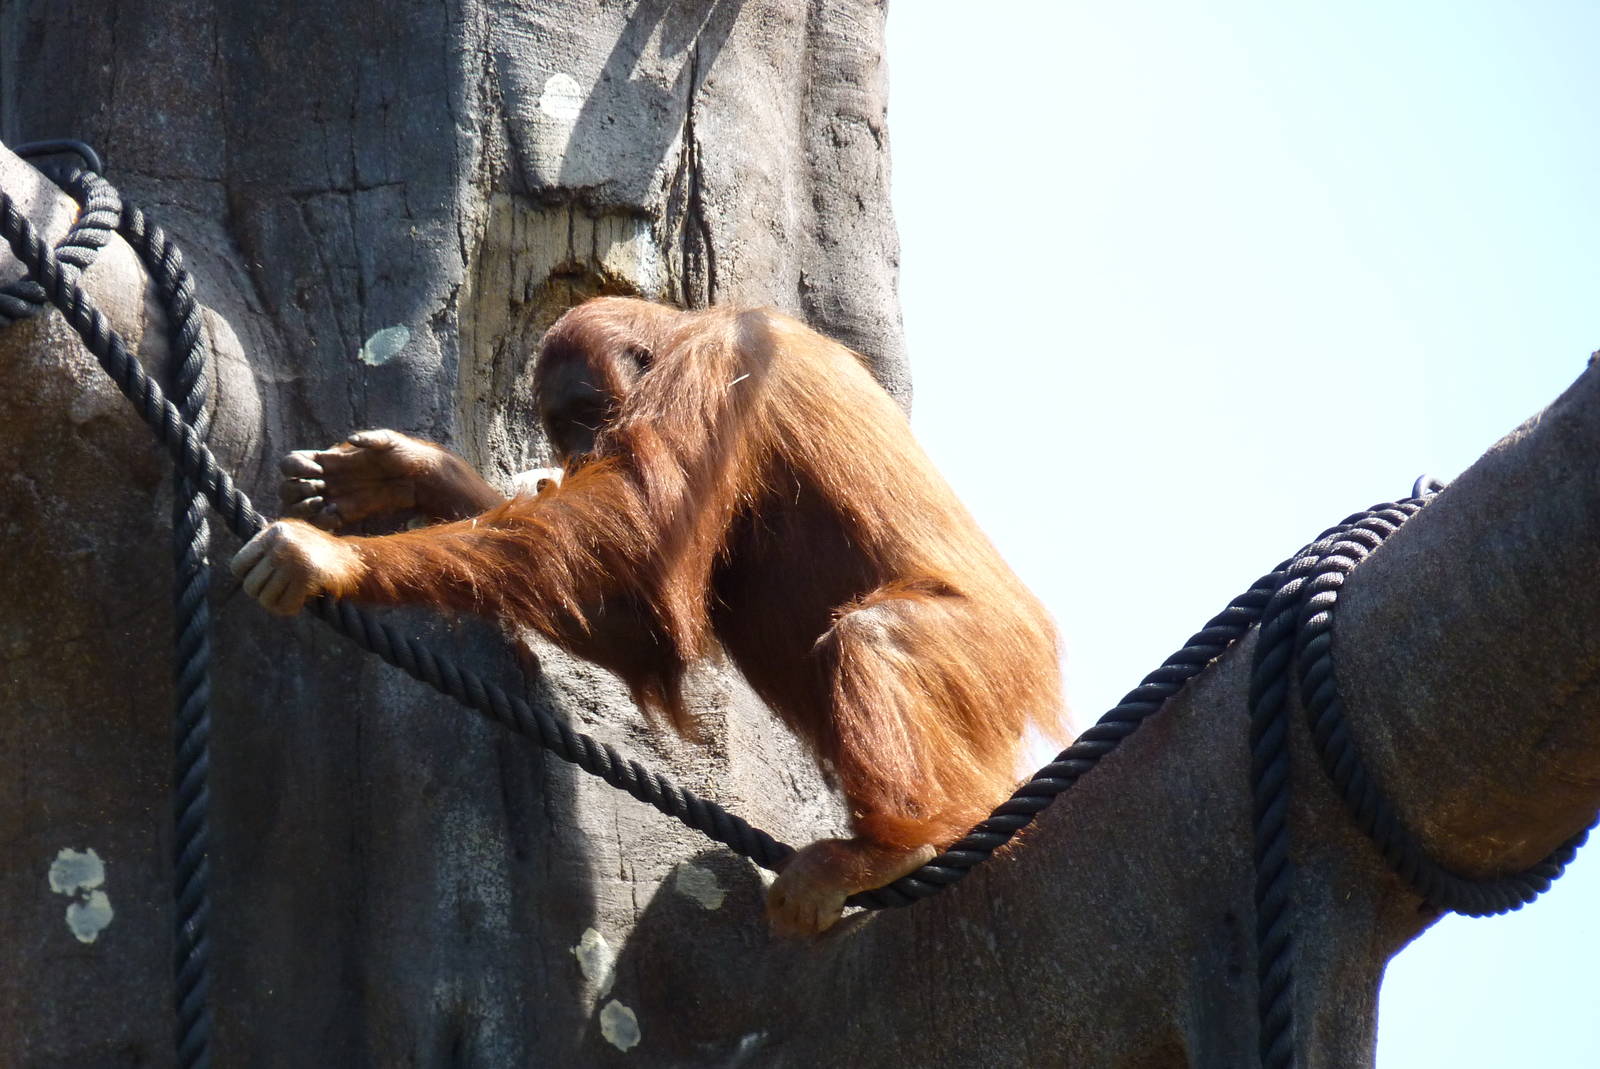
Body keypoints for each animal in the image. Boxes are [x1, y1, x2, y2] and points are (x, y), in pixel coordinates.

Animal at [231, 297, 1063, 936]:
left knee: (874, 636)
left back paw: (890, 847)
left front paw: (328, 557)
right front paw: (407, 472)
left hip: (997, 654)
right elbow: (632, 619)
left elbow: (637, 530)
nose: (577, 450)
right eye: (560, 425)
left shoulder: (720, 359)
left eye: (586, 409)